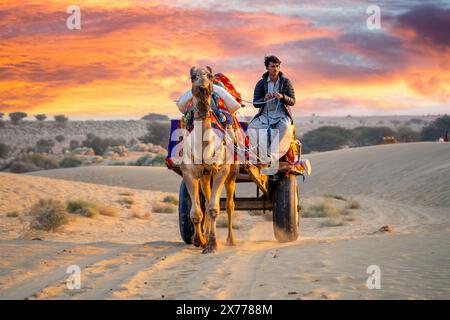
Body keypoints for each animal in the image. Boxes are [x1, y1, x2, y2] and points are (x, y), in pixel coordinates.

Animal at [179, 66, 239, 254]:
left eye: (210, 76)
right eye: (193, 77)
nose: (204, 88)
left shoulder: (221, 171)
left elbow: (214, 209)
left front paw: (212, 245)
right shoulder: (189, 173)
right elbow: (196, 212)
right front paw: (200, 240)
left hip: (232, 173)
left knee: (230, 205)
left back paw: (231, 240)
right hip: (205, 176)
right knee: (205, 200)